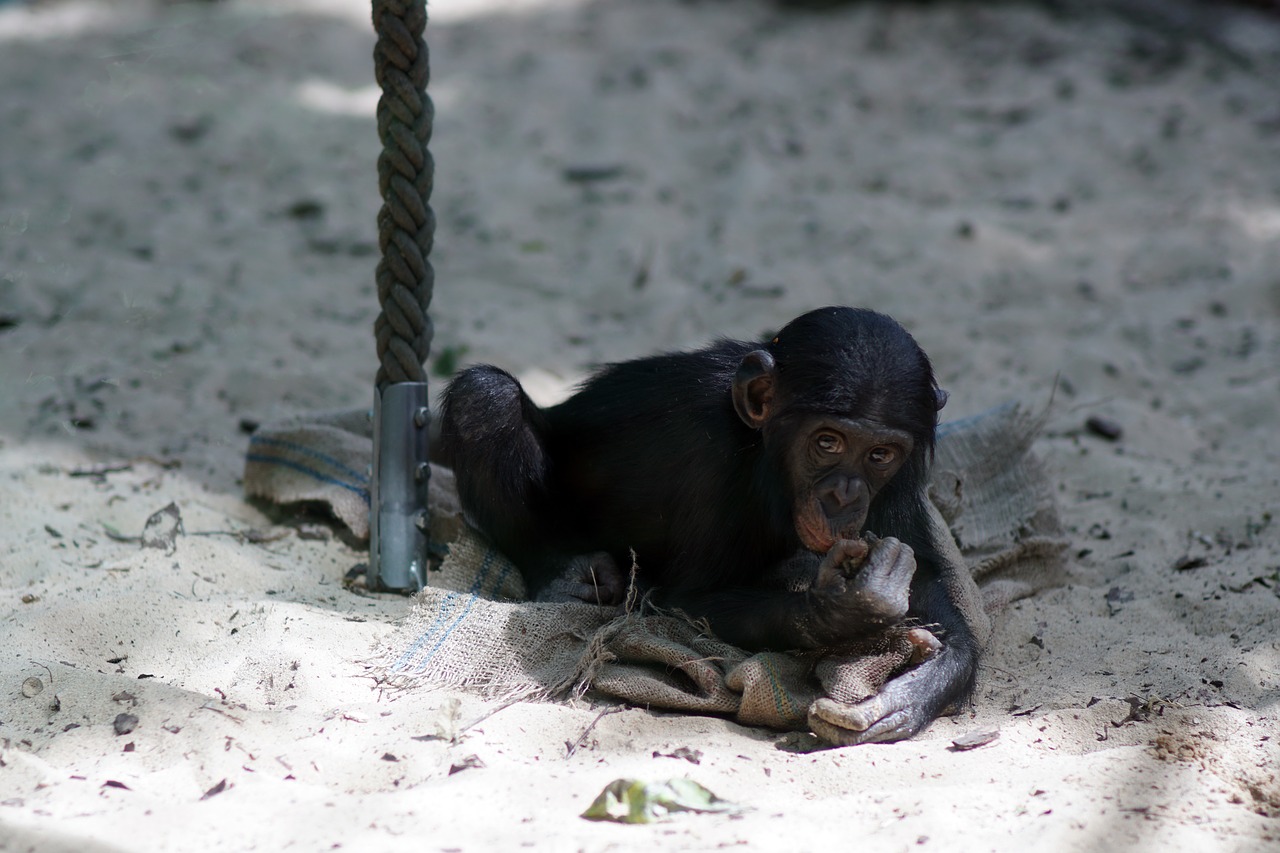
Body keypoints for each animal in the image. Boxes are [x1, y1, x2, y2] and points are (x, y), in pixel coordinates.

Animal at [437, 303, 977, 737]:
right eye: (827, 442)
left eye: (879, 455)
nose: (843, 495)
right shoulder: (710, 458)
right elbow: (690, 598)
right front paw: (846, 610)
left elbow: (923, 571)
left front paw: (920, 688)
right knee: (485, 395)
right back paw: (561, 572)